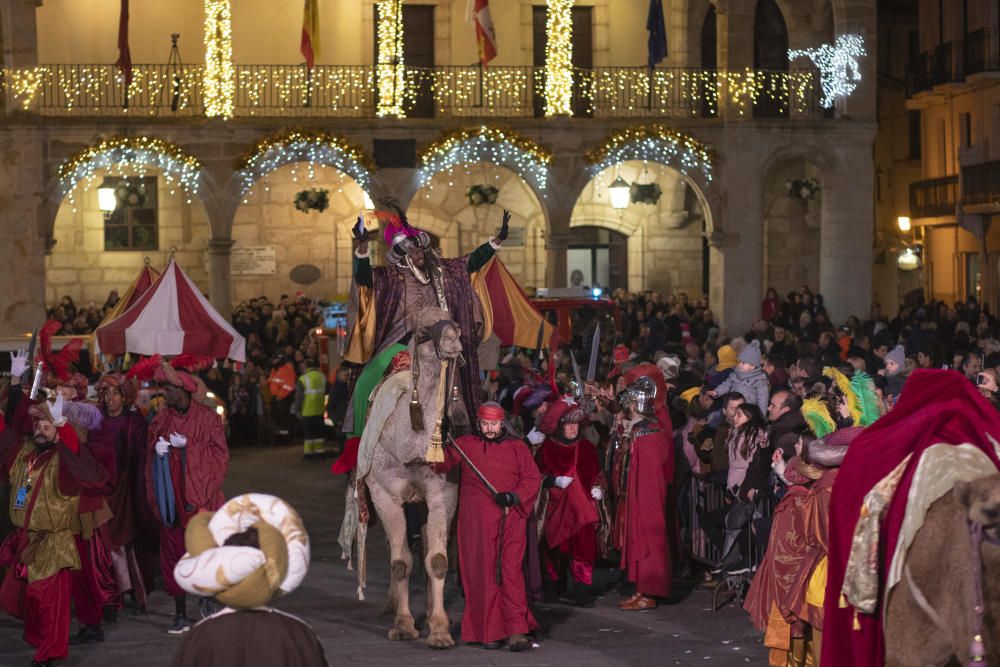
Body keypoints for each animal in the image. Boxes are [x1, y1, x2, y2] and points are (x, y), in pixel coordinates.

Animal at [356, 310, 464, 648]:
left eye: (456, 323)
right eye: (424, 330)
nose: (453, 340)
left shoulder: (444, 494)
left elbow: (438, 560)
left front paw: (440, 629)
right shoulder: (385, 494)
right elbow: (401, 562)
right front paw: (403, 625)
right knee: (396, 548)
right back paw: (392, 603)